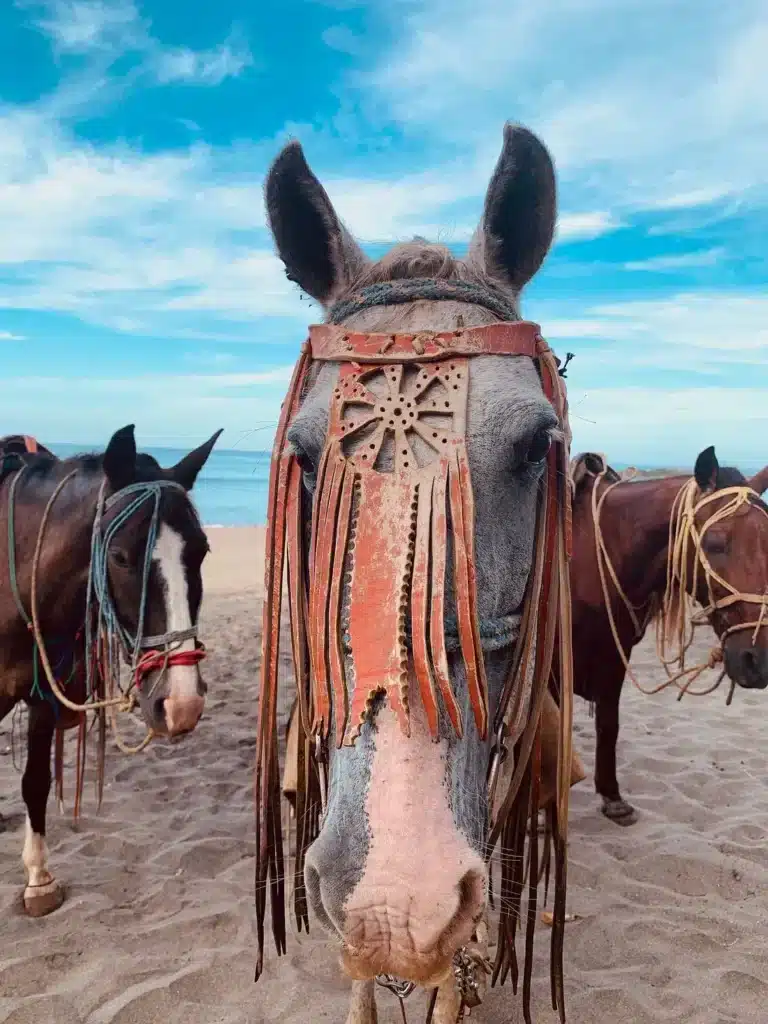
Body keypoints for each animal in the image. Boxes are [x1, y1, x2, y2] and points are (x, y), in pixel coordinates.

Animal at [0, 425, 221, 915]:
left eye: (201, 552)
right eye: (118, 557)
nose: (181, 705)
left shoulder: (43, 699)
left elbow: (35, 782)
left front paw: (38, 879)